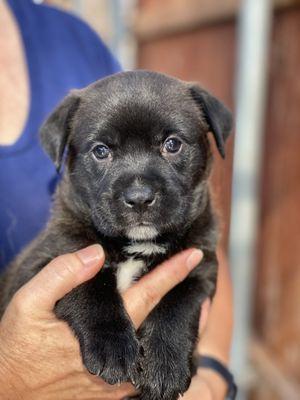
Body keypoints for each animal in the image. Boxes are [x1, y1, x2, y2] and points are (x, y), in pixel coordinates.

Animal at [0, 70, 232, 398]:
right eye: (101, 151)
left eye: (172, 144)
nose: (139, 198)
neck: (137, 244)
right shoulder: (50, 261)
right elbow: (89, 287)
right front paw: (113, 348)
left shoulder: (199, 268)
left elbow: (176, 303)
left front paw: (164, 364)